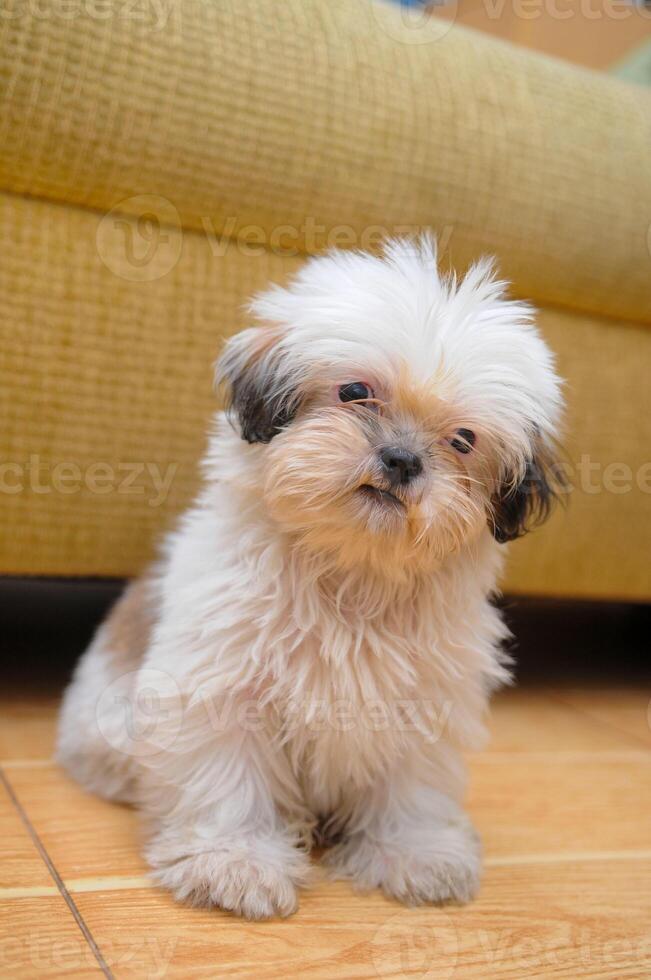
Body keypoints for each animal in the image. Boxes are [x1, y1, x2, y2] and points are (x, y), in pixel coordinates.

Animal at [57, 235, 564, 920]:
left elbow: (412, 785)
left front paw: (414, 850)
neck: (350, 571)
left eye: (463, 440)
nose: (402, 459)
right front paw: (234, 859)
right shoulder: (223, 684)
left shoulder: (424, 700)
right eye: (353, 391)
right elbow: (230, 778)